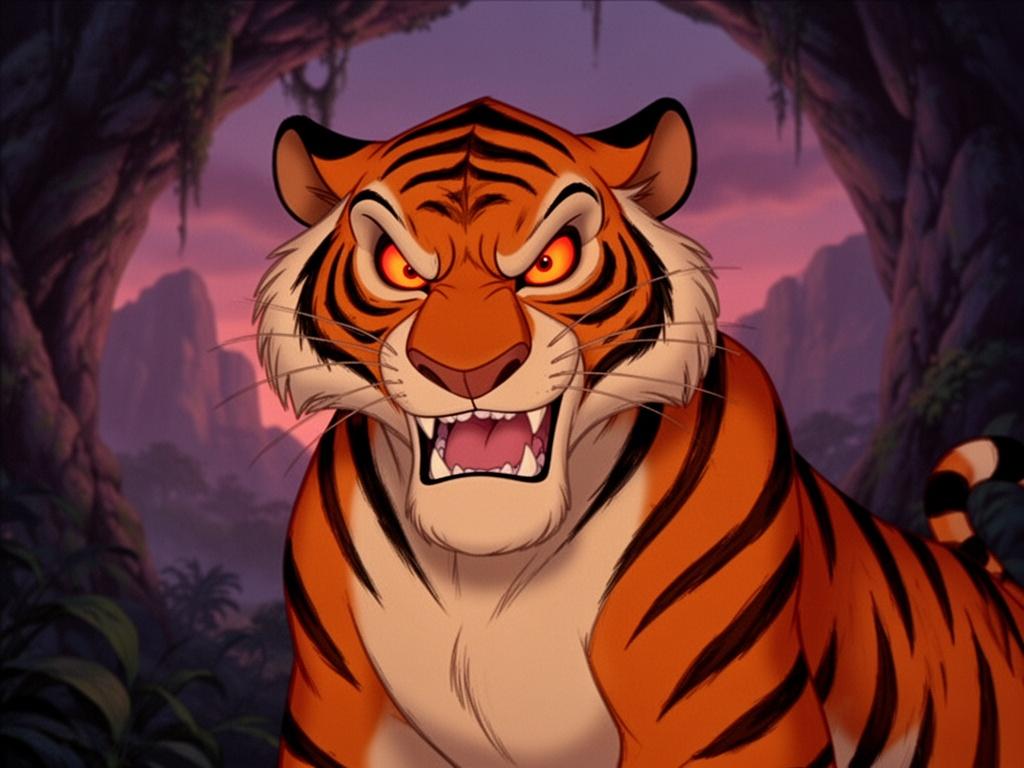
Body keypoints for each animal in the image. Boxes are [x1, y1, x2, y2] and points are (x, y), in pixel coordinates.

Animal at [253, 97, 1024, 767]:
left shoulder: (725, 724)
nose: (467, 368)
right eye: (397, 266)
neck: (480, 568)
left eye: (552, 261)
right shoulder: (338, 728)